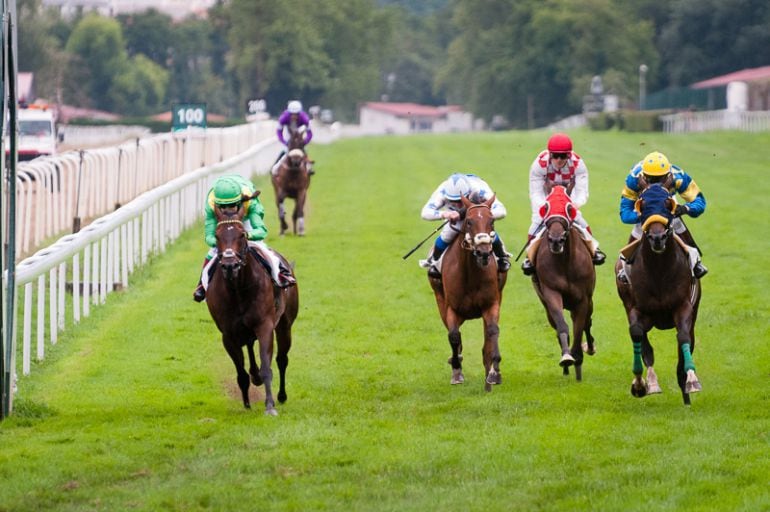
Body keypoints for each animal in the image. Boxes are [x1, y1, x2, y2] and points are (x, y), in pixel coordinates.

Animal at [204, 202, 296, 414]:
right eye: (217, 235)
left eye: (242, 235)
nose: (230, 265)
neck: (238, 289)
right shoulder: (228, 335)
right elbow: (241, 372)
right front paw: (246, 404)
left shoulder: (265, 326)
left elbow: (266, 366)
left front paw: (270, 405)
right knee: (249, 349)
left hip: (285, 324)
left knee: (282, 359)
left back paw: (281, 395)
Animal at [426, 194, 504, 390]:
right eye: (469, 221)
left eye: (492, 221)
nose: (483, 252)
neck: (471, 273)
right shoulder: (452, 308)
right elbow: (454, 336)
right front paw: (456, 369)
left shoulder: (491, 304)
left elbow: (493, 331)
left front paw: (494, 371)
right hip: (439, 299)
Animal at [528, 184, 592, 380]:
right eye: (545, 207)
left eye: (569, 208)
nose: (556, 240)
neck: (565, 263)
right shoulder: (551, 293)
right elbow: (562, 326)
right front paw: (566, 357)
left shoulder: (583, 300)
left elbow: (579, 329)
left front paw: (577, 358)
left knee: (587, 322)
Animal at [612, 183, 704, 404]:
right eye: (642, 205)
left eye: (668, 204)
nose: (657, 238)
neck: (659, 272)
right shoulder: (637, 309)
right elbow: (638, 336)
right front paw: (642, 384)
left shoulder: (683, 306)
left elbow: (683, 337)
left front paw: (691, 380)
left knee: (687, 340)